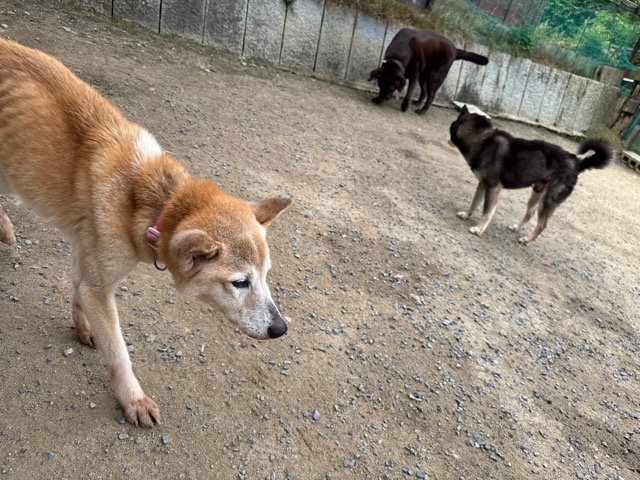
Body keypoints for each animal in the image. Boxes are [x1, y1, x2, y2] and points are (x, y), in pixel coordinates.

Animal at [0, 39, 292, 427]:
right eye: (240, 283)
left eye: (266, 275)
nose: (280, 329)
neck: (149, 198)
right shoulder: (99, 283)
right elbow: (119, 353)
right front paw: (133, 399)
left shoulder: (87, 254)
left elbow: (78, 290)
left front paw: (83, 327)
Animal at [449, 105, 613, 244]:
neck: (483, 139)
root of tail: (577, 162)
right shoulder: (482, 185)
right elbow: (474, 203)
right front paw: (466, 215)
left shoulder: (493, 187)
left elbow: (487, 211)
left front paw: (479, 229)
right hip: (536, 194)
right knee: (530, 214)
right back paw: (517, 227)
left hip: (547, 202)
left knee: (542, 225)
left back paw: (527, 240)